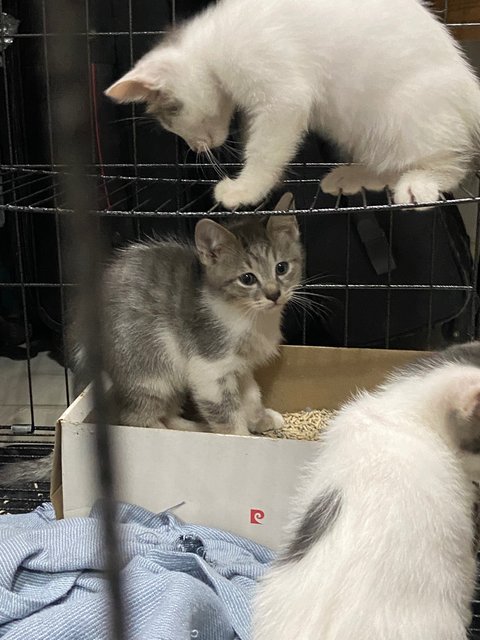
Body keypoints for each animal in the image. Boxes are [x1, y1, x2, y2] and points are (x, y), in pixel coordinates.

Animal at [92, 215, 302, 436]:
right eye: (247, 278)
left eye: (281, 268)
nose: (274, 294)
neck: (253, 318)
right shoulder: (209, 368)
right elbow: (226, 414)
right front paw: (240, 436)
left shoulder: (242, 365)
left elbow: (251, 393)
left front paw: (260, 418)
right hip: (149, 372)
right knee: (135, 419)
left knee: (169, 414)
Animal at [104, 0, 480, 209]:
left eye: (171, 119)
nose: (195, 148)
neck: (210, 44)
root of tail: (468, 85)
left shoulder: (281, 95)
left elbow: (264, 149)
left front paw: (245, 188)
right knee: (388, 160)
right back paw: (354, 175)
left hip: (405, 114)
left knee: (448, 160)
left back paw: (422, 183)